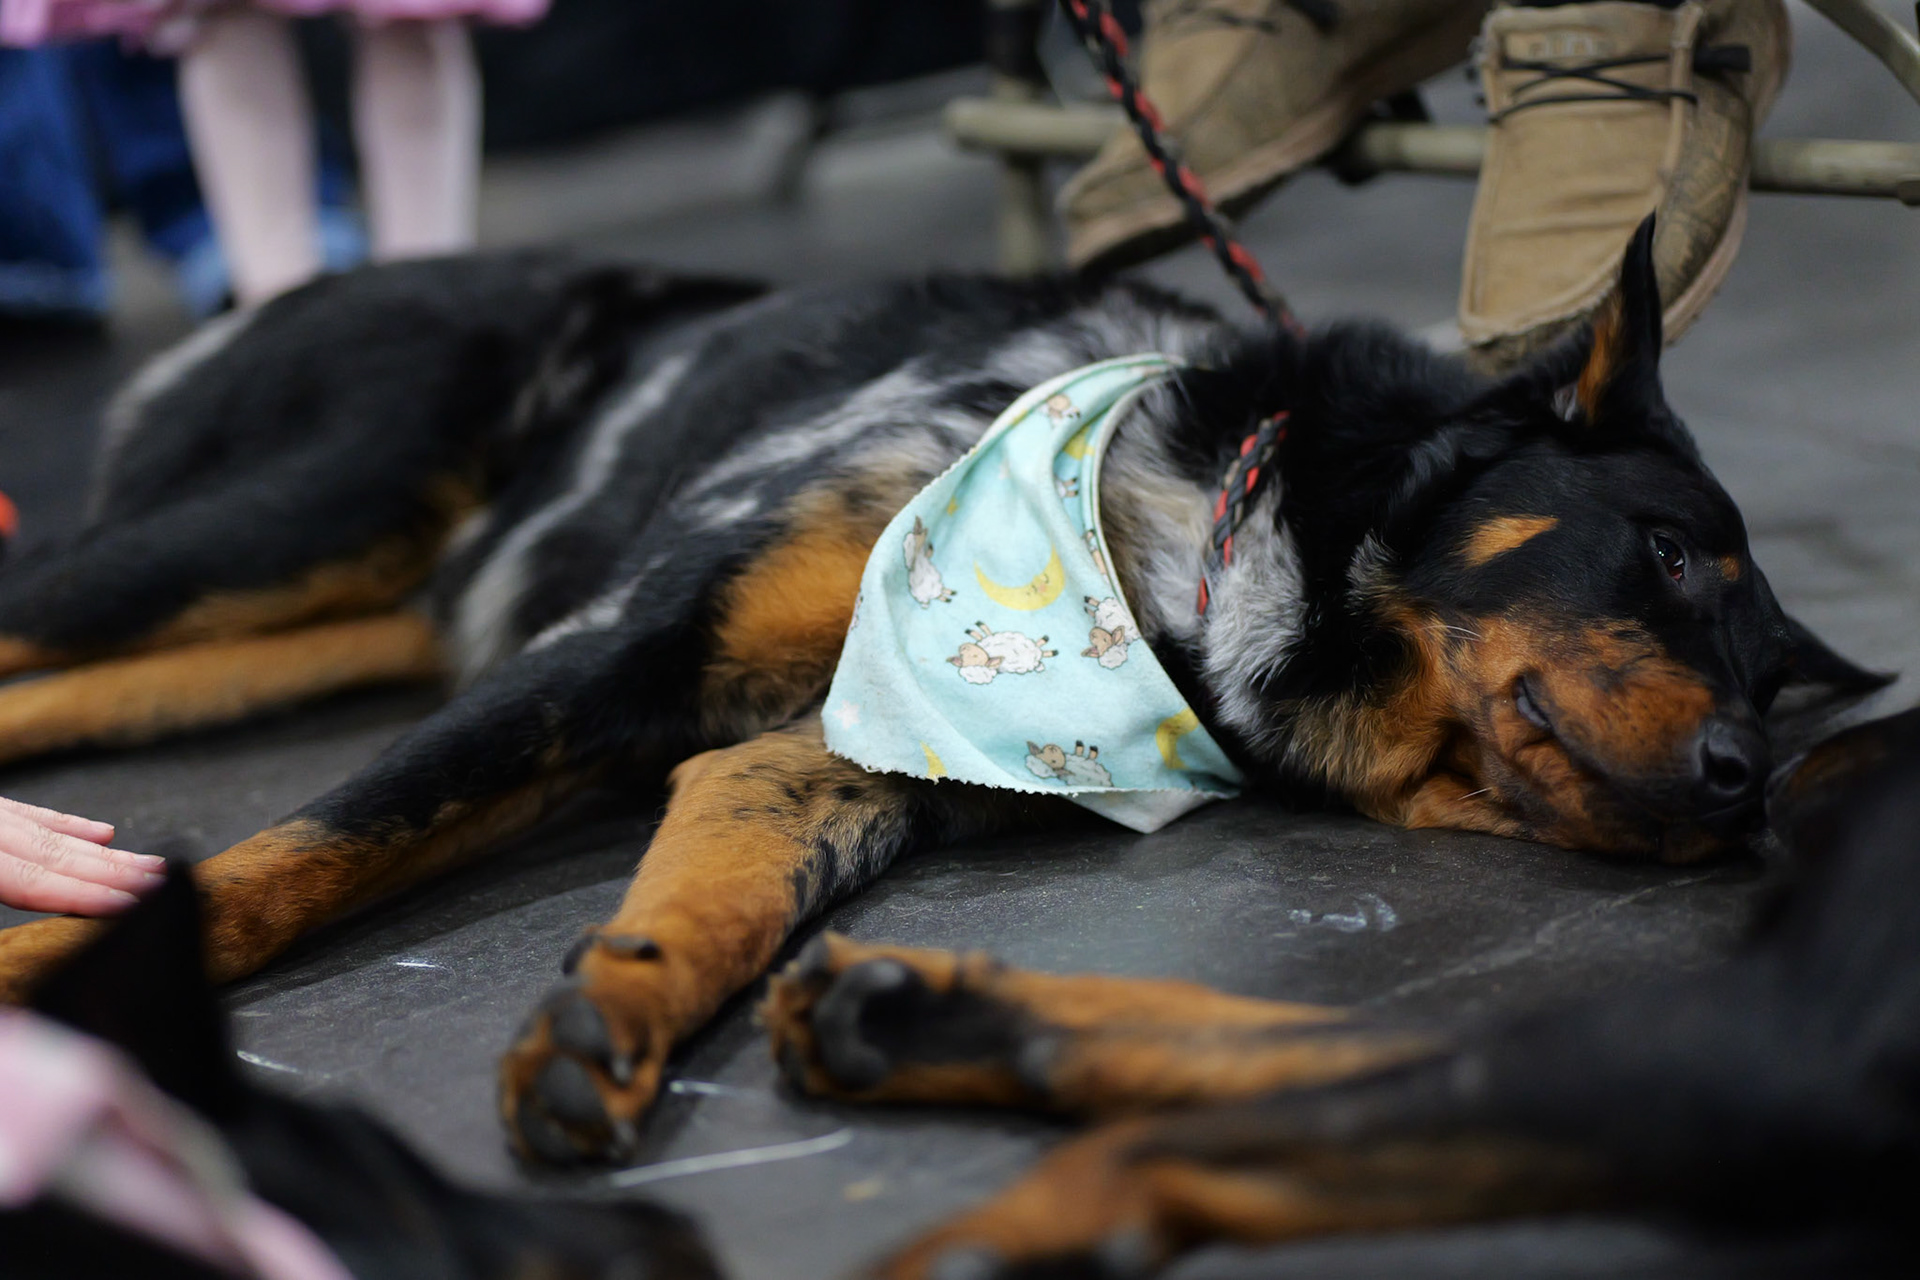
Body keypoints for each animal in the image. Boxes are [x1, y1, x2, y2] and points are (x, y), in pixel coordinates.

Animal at [0, 220, 1883, 1167]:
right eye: (1663, 551)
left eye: (1762, 674)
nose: (1742, 781)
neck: (1170, 549)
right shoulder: (614, 648)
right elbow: (307, 849)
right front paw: (52, 979)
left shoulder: (833, 760)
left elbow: (706, 905)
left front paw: (607, 1022)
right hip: (266, 528)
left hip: (297, 627)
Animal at [762, 705, 1920, 1278]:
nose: (1765, 773)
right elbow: (1298, 1039)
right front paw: (938, 1018)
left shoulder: (1772, 1046)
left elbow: (1142, 1139)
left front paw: (981, 1246)